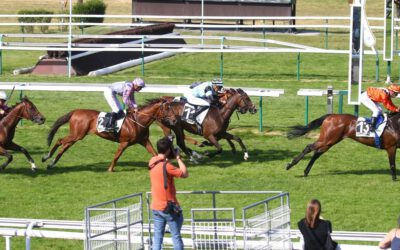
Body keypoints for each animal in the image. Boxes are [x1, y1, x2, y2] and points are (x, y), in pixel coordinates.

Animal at [43, 98, 173, 172]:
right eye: (167, 108)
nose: (174, 120)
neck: (138, 121)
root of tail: (76, 111)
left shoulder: (144, 140)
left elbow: (155, 153)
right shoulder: (124, 142)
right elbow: (117, 156)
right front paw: (110, 169)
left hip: (76, 135)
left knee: (64, 146)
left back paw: (51, 164)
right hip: (77, 134)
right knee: (60, 140)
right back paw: (46, 157)